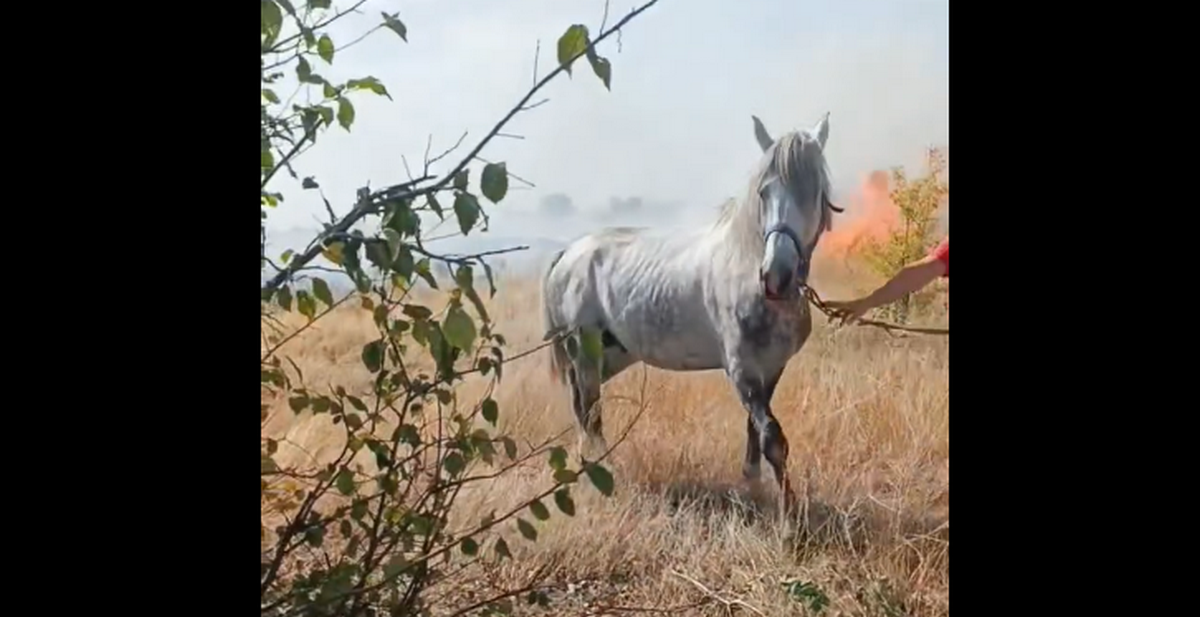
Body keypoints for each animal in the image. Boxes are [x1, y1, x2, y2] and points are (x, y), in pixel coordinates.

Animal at [540, 112, 840, 501]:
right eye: (763, 192)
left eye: (814, 191)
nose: (777, 276)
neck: (743, 267)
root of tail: (569, 253)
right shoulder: (741, 369)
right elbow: (773, 438)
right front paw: (788, 511)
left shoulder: (771, 368)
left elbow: (754, 432)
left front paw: (752, 488)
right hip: (585, 354)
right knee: (589, 411)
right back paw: (601, 472)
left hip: (613, 355)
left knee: (582, 408)